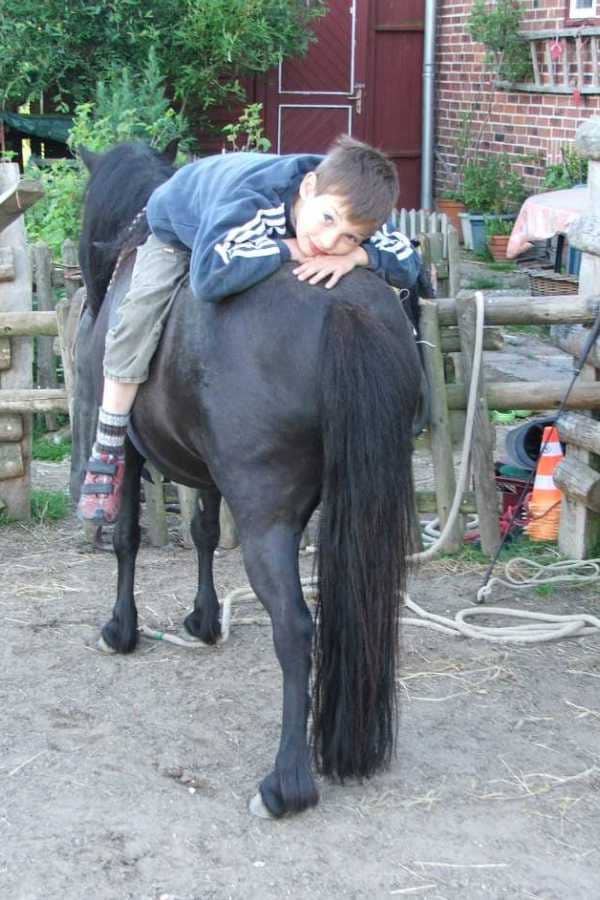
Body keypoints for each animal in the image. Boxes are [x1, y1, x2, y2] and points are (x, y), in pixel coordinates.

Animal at [72, 141, 422, 816]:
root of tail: (345, 308)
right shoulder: (208, 472)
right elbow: (206, 532)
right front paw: (205, 620)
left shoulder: (131, 450)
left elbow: (126, 539)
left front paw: (121, 629)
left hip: (267, 519)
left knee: (295, 627)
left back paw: (286, 784)